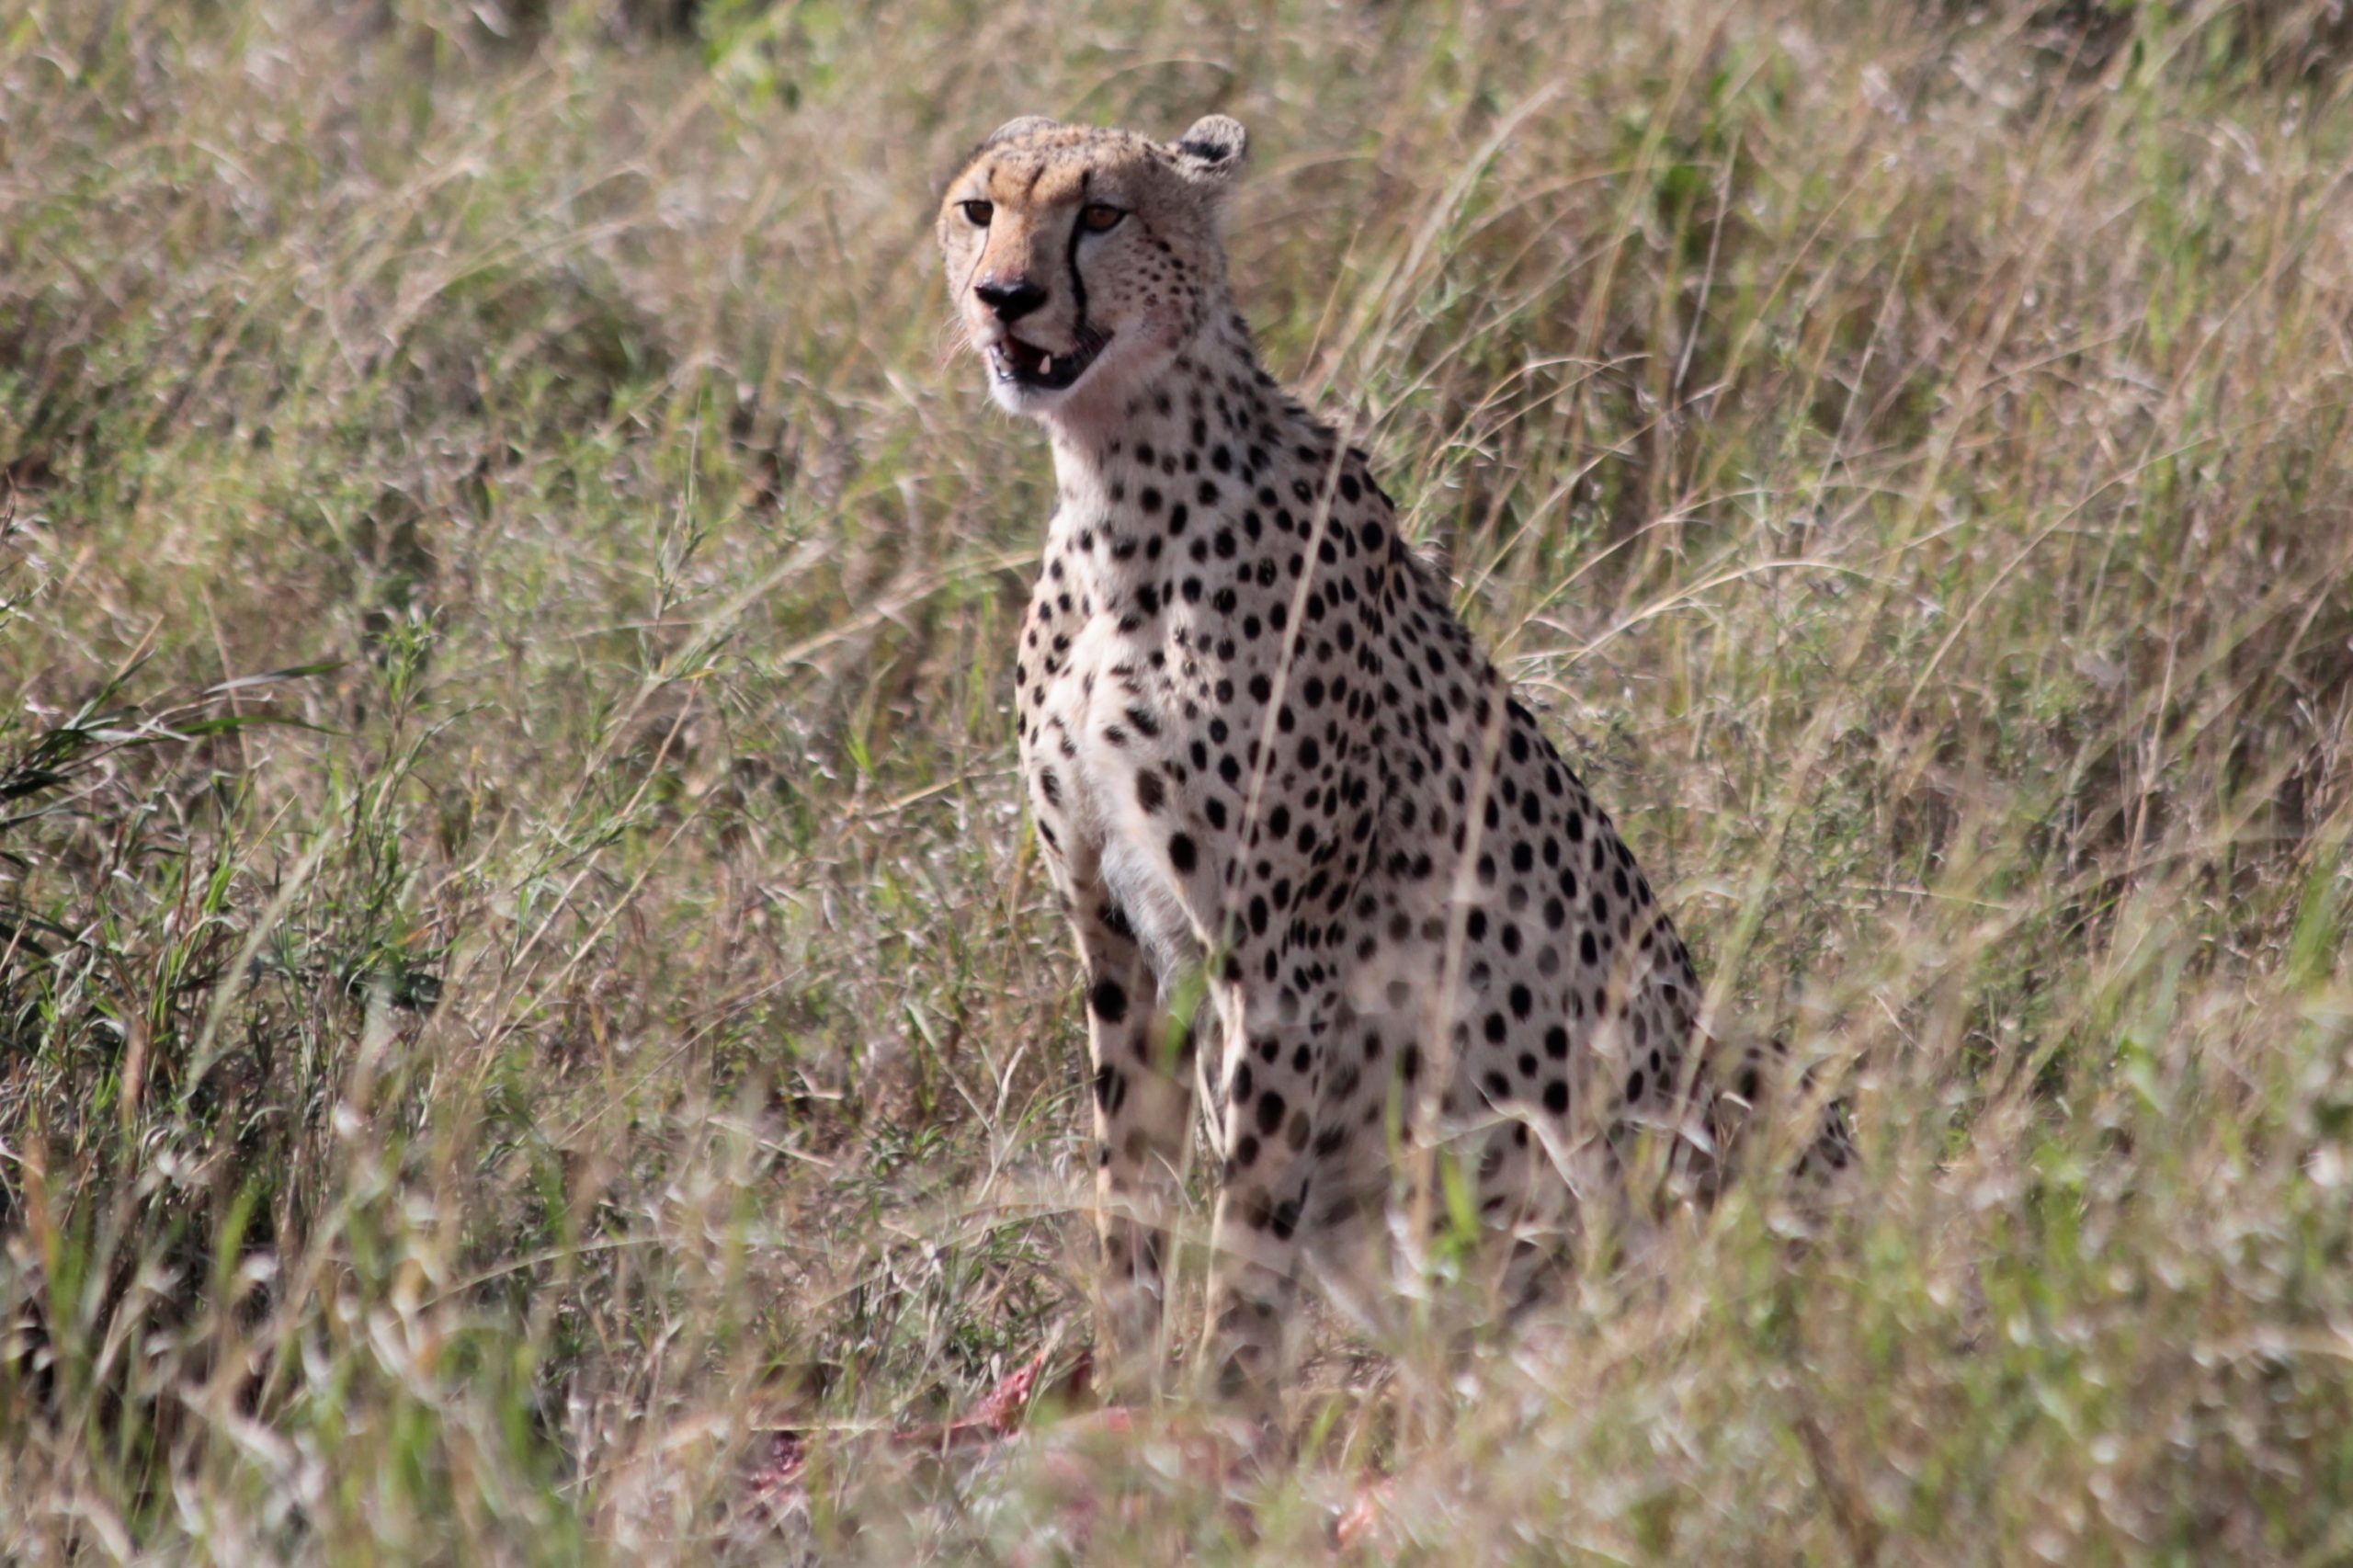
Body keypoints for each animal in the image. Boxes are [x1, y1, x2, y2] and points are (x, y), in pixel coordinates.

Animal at [936, 113, 1823, 1402]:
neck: (1117, 485)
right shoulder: (1111, 931)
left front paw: (1217, 1424)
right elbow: (1127, 1201)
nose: (1003, 295)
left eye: (1100, 215)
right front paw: (1128, 1398)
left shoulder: (1278, 962)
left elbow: (1247, 1241)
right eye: (977, 208)